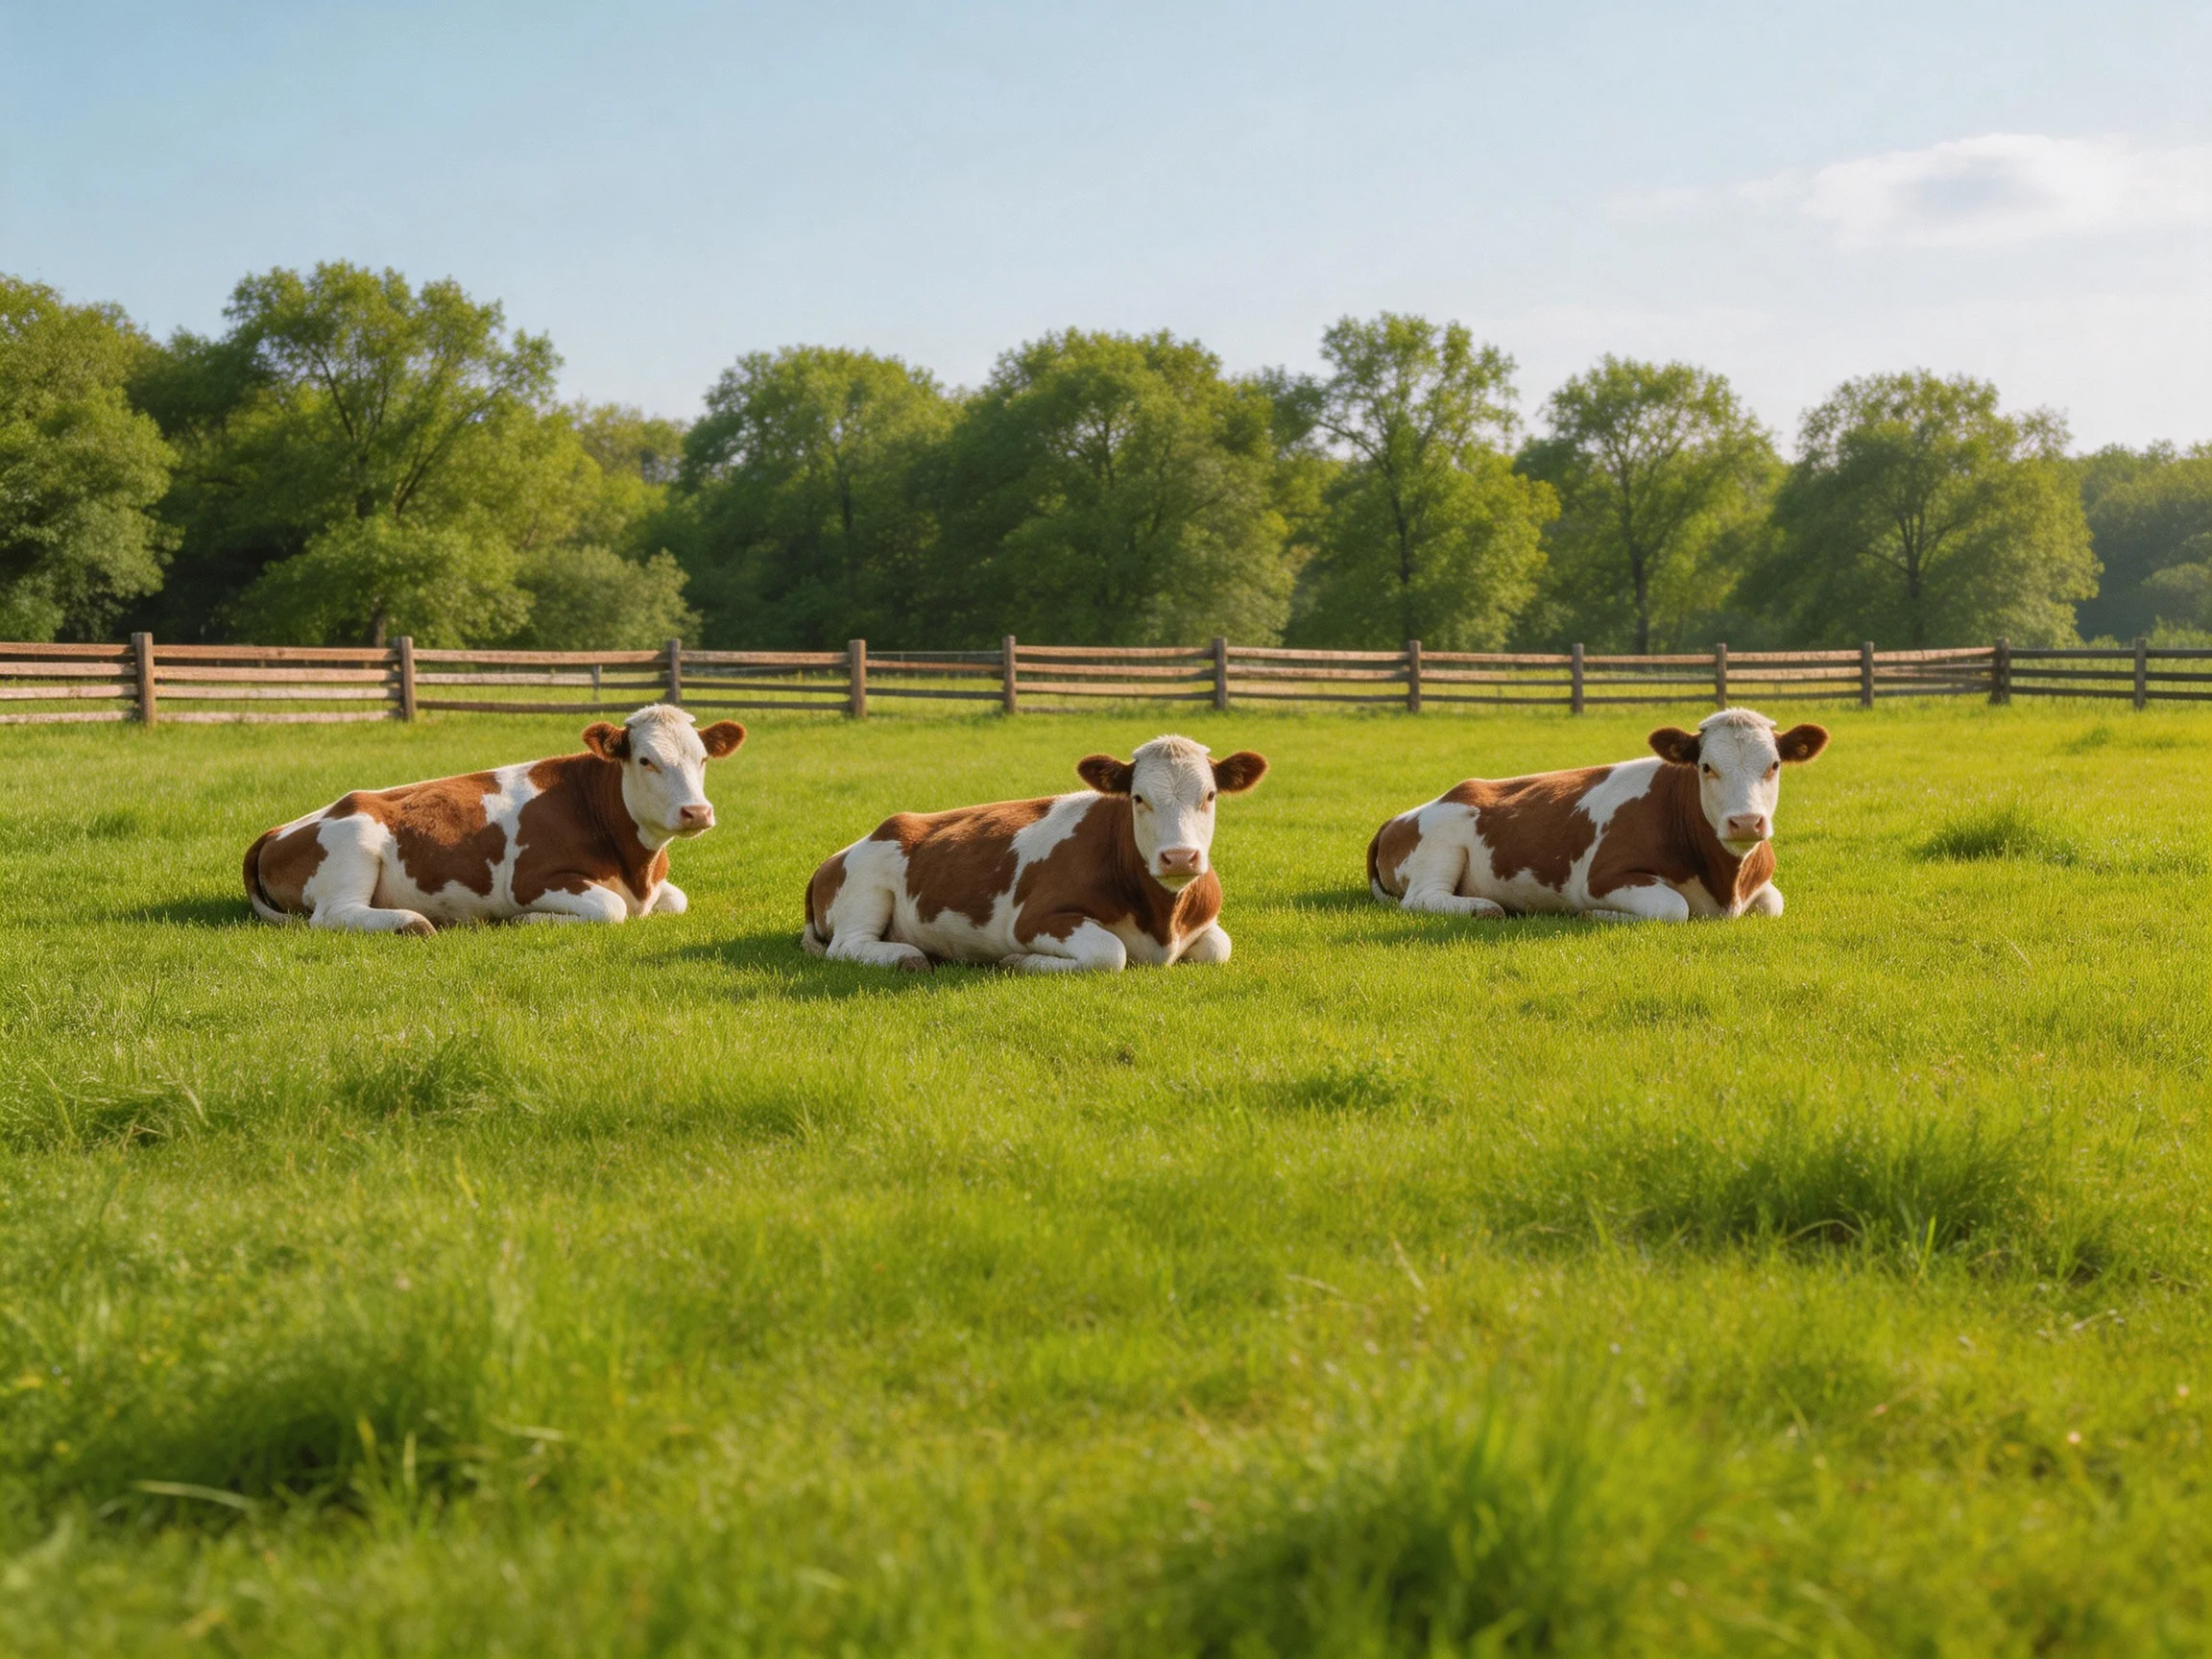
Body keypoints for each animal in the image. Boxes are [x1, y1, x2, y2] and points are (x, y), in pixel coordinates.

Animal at [243, 704, 745, 934]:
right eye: (646, 760)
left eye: (702, 758)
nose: (697, 811)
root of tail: (277, 830)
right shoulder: (531, 880)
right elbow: (611, 908)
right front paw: (530, 920)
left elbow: (675, 900)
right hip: (353, 843)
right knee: (332, 915)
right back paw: (412, 921)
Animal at [802, 734, 1269, 972]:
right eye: (1138, 798)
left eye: (1210, 796)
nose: (1179, 857)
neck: (1162, 920)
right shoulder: (1035, 920)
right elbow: (1110, 954)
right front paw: (1016, 960)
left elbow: (1218, 948)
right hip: (866, 885)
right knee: (848, 946)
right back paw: (908, 955)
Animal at [1366, 708, 1829, 923]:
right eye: (1706, 767)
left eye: (1774, 765)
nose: (1746, 822)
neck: (1724, 884)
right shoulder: (1604, 876)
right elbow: (1672, 906)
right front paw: (1590, 913)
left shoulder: (1762, 888)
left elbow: (1772, 903)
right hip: (1441, 840)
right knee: (1421, 898)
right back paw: (1484, 907)